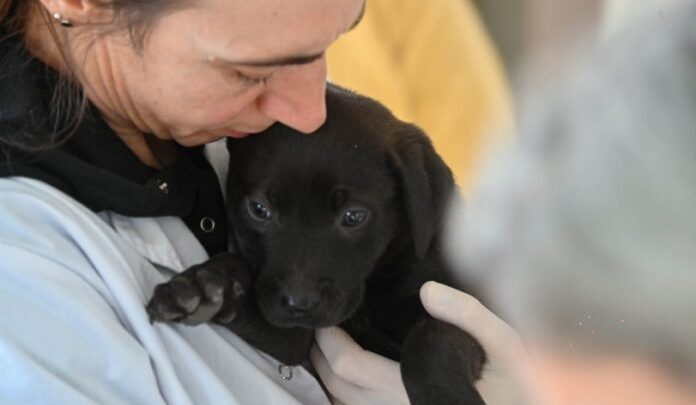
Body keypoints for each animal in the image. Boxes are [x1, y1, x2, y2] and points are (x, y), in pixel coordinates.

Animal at [147, 84, 486, 404]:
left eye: (353, 216)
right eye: (259, 209)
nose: (300, 304)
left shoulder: (460, 300)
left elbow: (432, 339)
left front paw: (446, 396)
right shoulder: (297, 338)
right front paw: (210, 284)